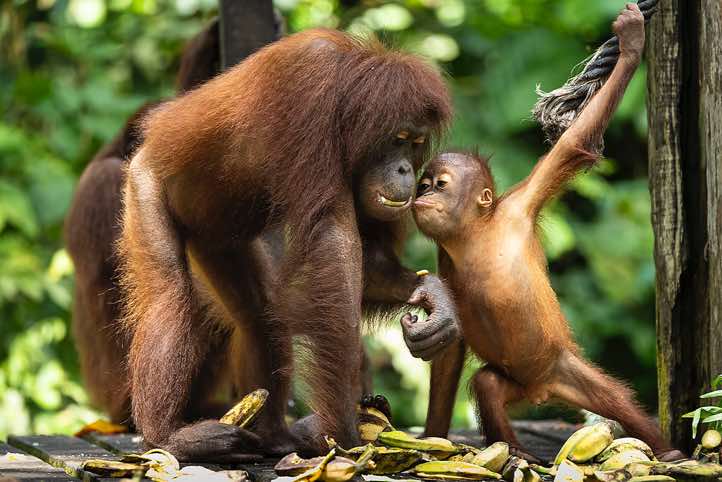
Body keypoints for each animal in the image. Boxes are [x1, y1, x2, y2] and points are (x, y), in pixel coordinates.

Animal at [117, 28, 459, 462]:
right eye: (397, 139)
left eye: (415, 143)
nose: (405, 170)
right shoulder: (309, 87)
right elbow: (333, 242)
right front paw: (344, 432)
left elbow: (367, 265)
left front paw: (434, 297)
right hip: (144, 185)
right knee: (170, 296)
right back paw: (167, 437)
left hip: (216, 241)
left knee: (258, 316)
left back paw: (273, 435)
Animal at [410, 4, 685, 463]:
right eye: (423, 185)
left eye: (440, 185)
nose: (423, 196)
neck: (475, 233)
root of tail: (541, 391)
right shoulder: (444, 260)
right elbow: (451, 339)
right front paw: (432, 435)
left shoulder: (520, 205)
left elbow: (573, 145)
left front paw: (631, 43)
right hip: (517, 385)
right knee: (488, 385)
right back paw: (515, 452)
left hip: (564, 368)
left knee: (615, 399)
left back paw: (669, 454)